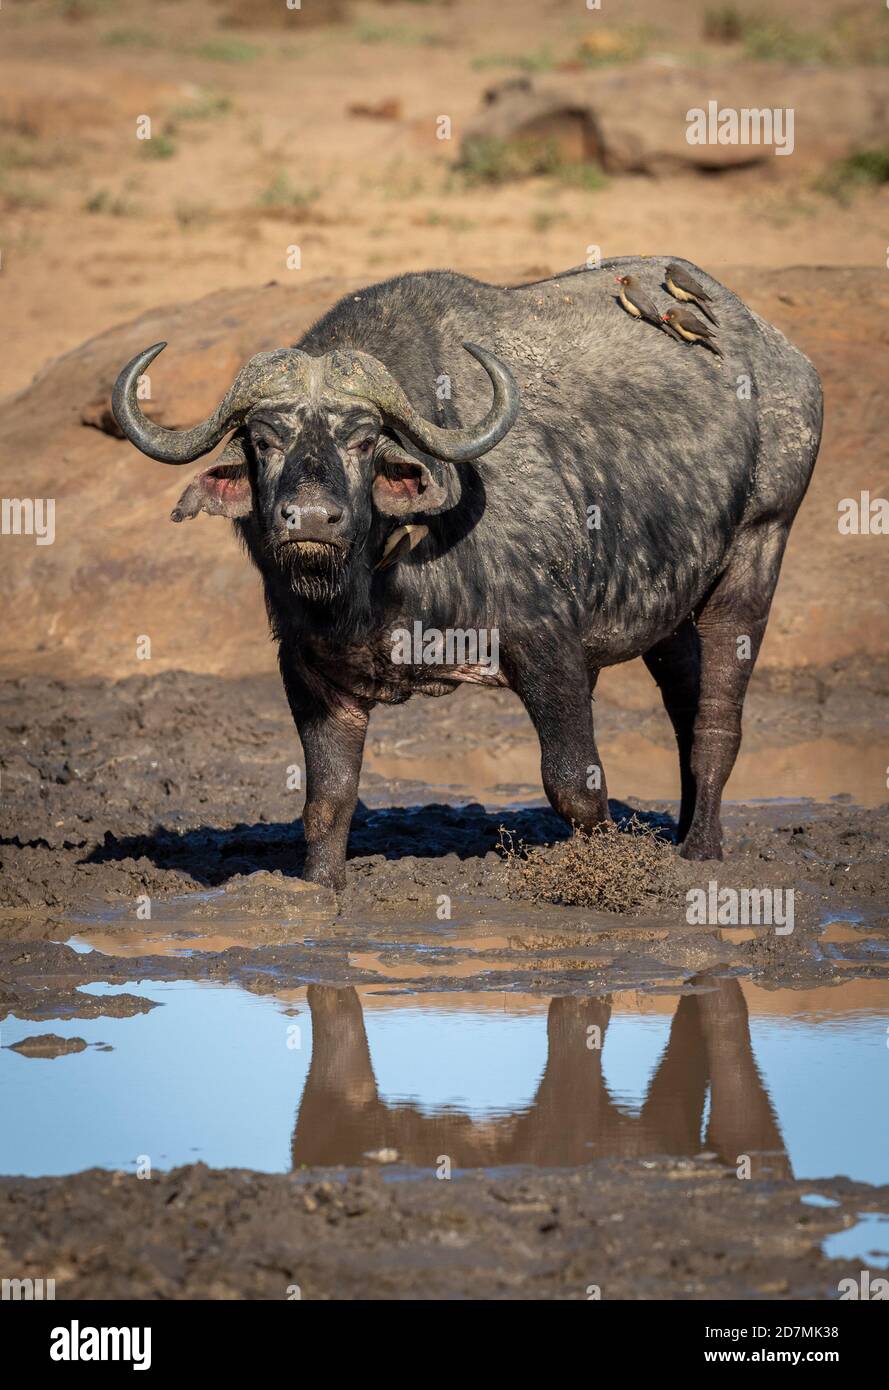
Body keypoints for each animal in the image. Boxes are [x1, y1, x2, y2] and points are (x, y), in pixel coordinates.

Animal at [112, 258, 827, 889]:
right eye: (263, 440)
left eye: (363, 440)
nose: (311, 519)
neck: (384, 576)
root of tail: (788, 362)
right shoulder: (310, 669)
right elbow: (328, 800)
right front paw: (319, 887)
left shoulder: (549, 646)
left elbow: (575, 781)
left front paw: (608, 871)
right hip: (669, 614)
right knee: (684, 707)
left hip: (758, 551)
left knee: (717, 721)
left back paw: (700, 849)